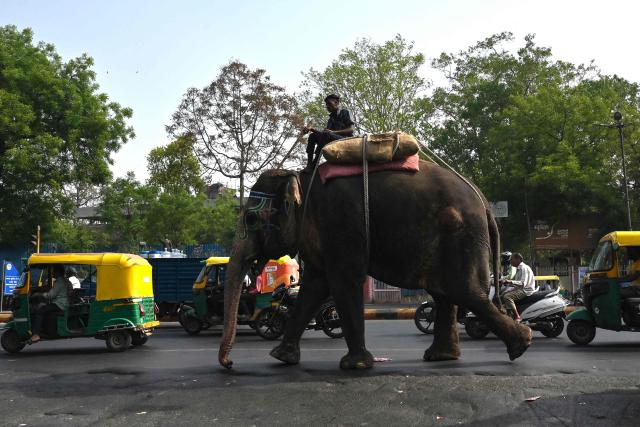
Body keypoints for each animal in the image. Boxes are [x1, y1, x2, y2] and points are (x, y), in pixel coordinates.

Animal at [218, 161, 533, 370]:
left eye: (250, 219)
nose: (229, 364)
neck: (301, 179)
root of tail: (483, 201)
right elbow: (315, 286)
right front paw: (280, 357)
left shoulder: (341, 222)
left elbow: (343, 281)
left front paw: (354, 365)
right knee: (445, 293)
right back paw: (442, 357)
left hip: (460, 234)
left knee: (463, 290)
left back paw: (520, 345)